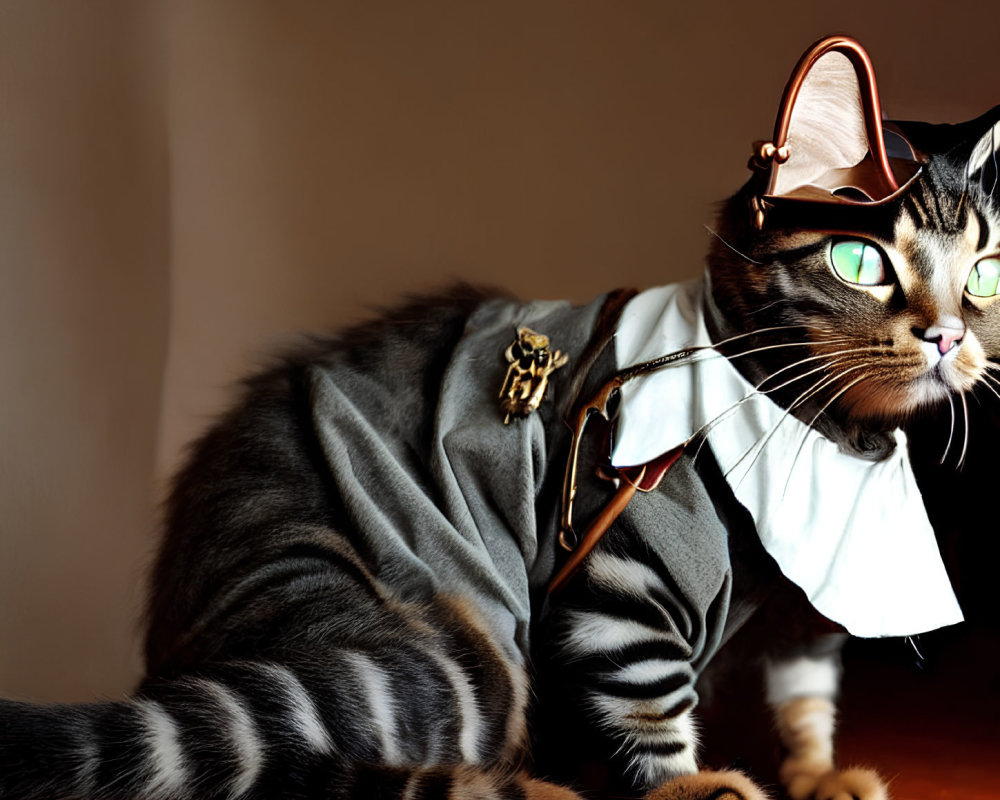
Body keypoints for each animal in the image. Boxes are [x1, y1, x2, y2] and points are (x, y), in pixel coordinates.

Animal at [1, 36, 1000, 800]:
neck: (822, 429)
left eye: (986, 273)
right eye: (859, 261)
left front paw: (820, 774)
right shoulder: (621, 586)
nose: (949, 334)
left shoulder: (804, 610)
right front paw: (692, 787)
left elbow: (804, 696)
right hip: (446, 653)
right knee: (308, 770)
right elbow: (651, 709)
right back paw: (535, 791)